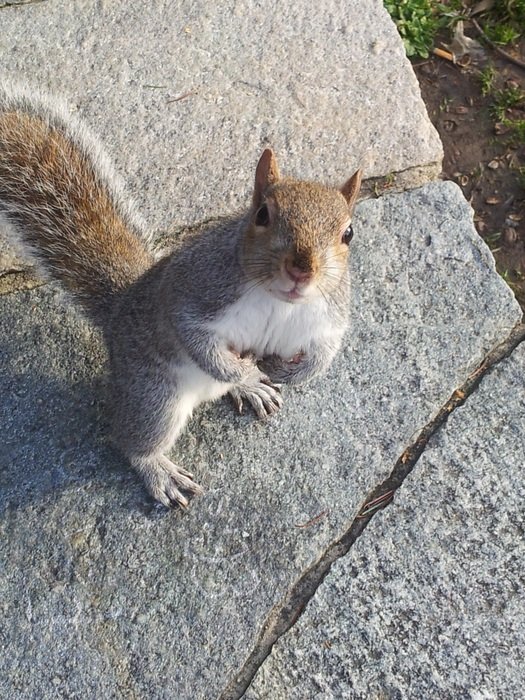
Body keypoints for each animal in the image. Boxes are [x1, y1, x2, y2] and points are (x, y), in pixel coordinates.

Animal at [0, 83, 362, 508]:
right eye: (262, 215)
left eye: (348, 233)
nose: (301, 270)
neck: (278, 301)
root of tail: (120, 309)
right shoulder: (198, 293)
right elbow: (196, 338)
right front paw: (242, 370)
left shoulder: (328, 317)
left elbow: (324, 355)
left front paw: (283, 373)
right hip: (153, 395)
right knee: (131, 439)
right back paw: (160, 469)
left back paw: (251, 387)